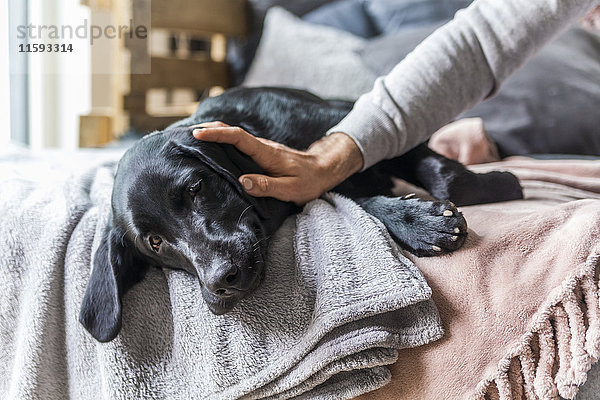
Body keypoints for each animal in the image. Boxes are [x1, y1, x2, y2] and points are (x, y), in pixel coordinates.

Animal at [78, 86, 520, 340]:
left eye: (195, 188)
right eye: (155, 242)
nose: (220, 282)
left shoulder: (364, 136)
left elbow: (445, 177)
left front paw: (496, 185)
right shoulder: (319, 179)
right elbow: (361, 201)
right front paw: (417, 223)